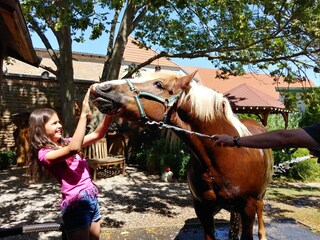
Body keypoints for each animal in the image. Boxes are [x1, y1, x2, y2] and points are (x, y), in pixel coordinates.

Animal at [90, 71, 272, 240]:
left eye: (158, 84)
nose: (101, 88)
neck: (225, 157)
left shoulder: (248, 208)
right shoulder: (203, 209)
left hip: (259, 197)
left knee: (261, 208)